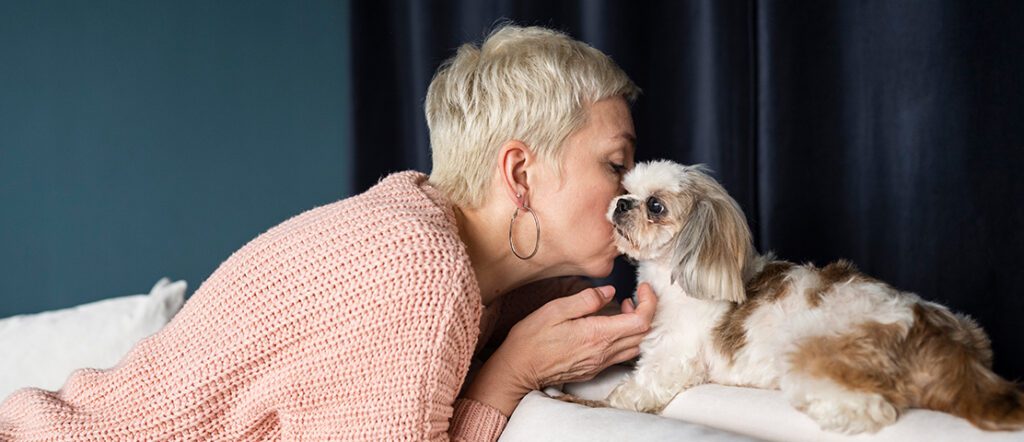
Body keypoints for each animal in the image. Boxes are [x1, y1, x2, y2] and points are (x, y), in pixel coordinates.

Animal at [603, 160, 1024, 434]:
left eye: (656, 205)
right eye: (626, 192)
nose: (621, 204)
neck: (671, 275)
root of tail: (930, 329)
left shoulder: (677, 354)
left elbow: (650, 378)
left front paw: (623, 394)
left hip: (809, 354)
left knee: (870, 409)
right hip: (970, 328)